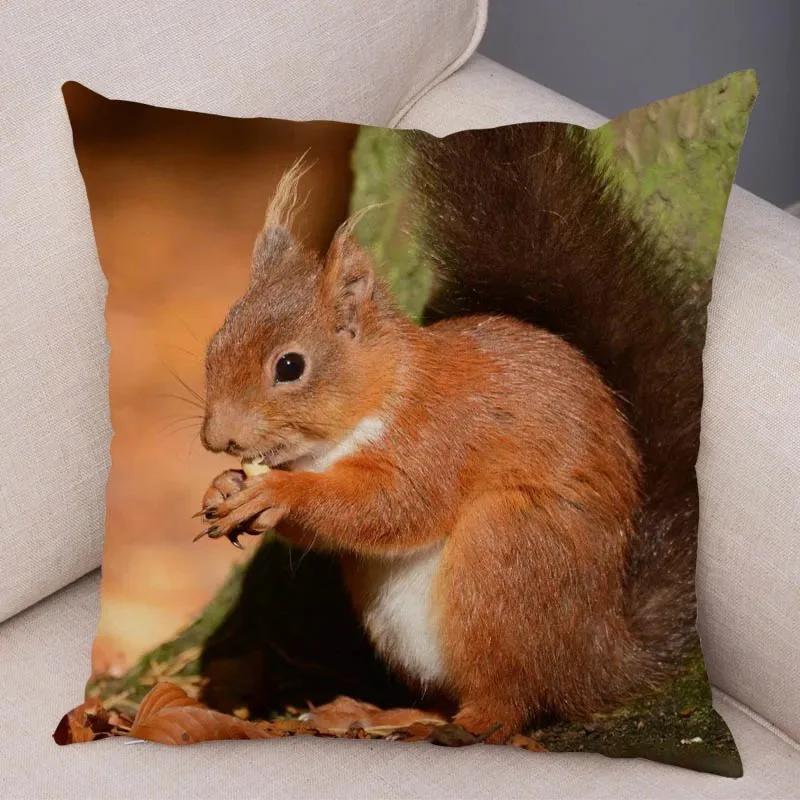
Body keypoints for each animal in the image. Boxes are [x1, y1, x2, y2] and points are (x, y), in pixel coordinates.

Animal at [197, 123, 700, 742]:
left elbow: (394, 505)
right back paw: (382, 713)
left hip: (508, 552)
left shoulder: (440, 436)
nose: (217, 438)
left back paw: (468, 725)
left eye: (290, 366)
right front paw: (224, 485)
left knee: (510, 699)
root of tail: (599, 653)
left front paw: (278, 492)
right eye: (215, 343)